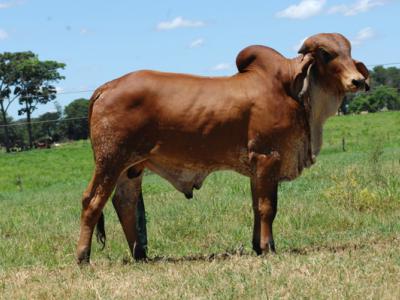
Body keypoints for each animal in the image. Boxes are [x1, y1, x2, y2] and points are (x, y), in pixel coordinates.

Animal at [76, 31, 370, 264]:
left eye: (349, 52)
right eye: (325, 54)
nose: (357, 81)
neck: (293, 90)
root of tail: (106, 87)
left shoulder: (256, 166)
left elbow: (256, 205)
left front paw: (258, 246)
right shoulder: (268, 157)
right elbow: (268, 207)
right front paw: (268, 248)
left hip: (131, 167)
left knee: (124, 203)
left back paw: (139, 255)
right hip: (110, 160)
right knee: (92, 201)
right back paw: (83, 257)